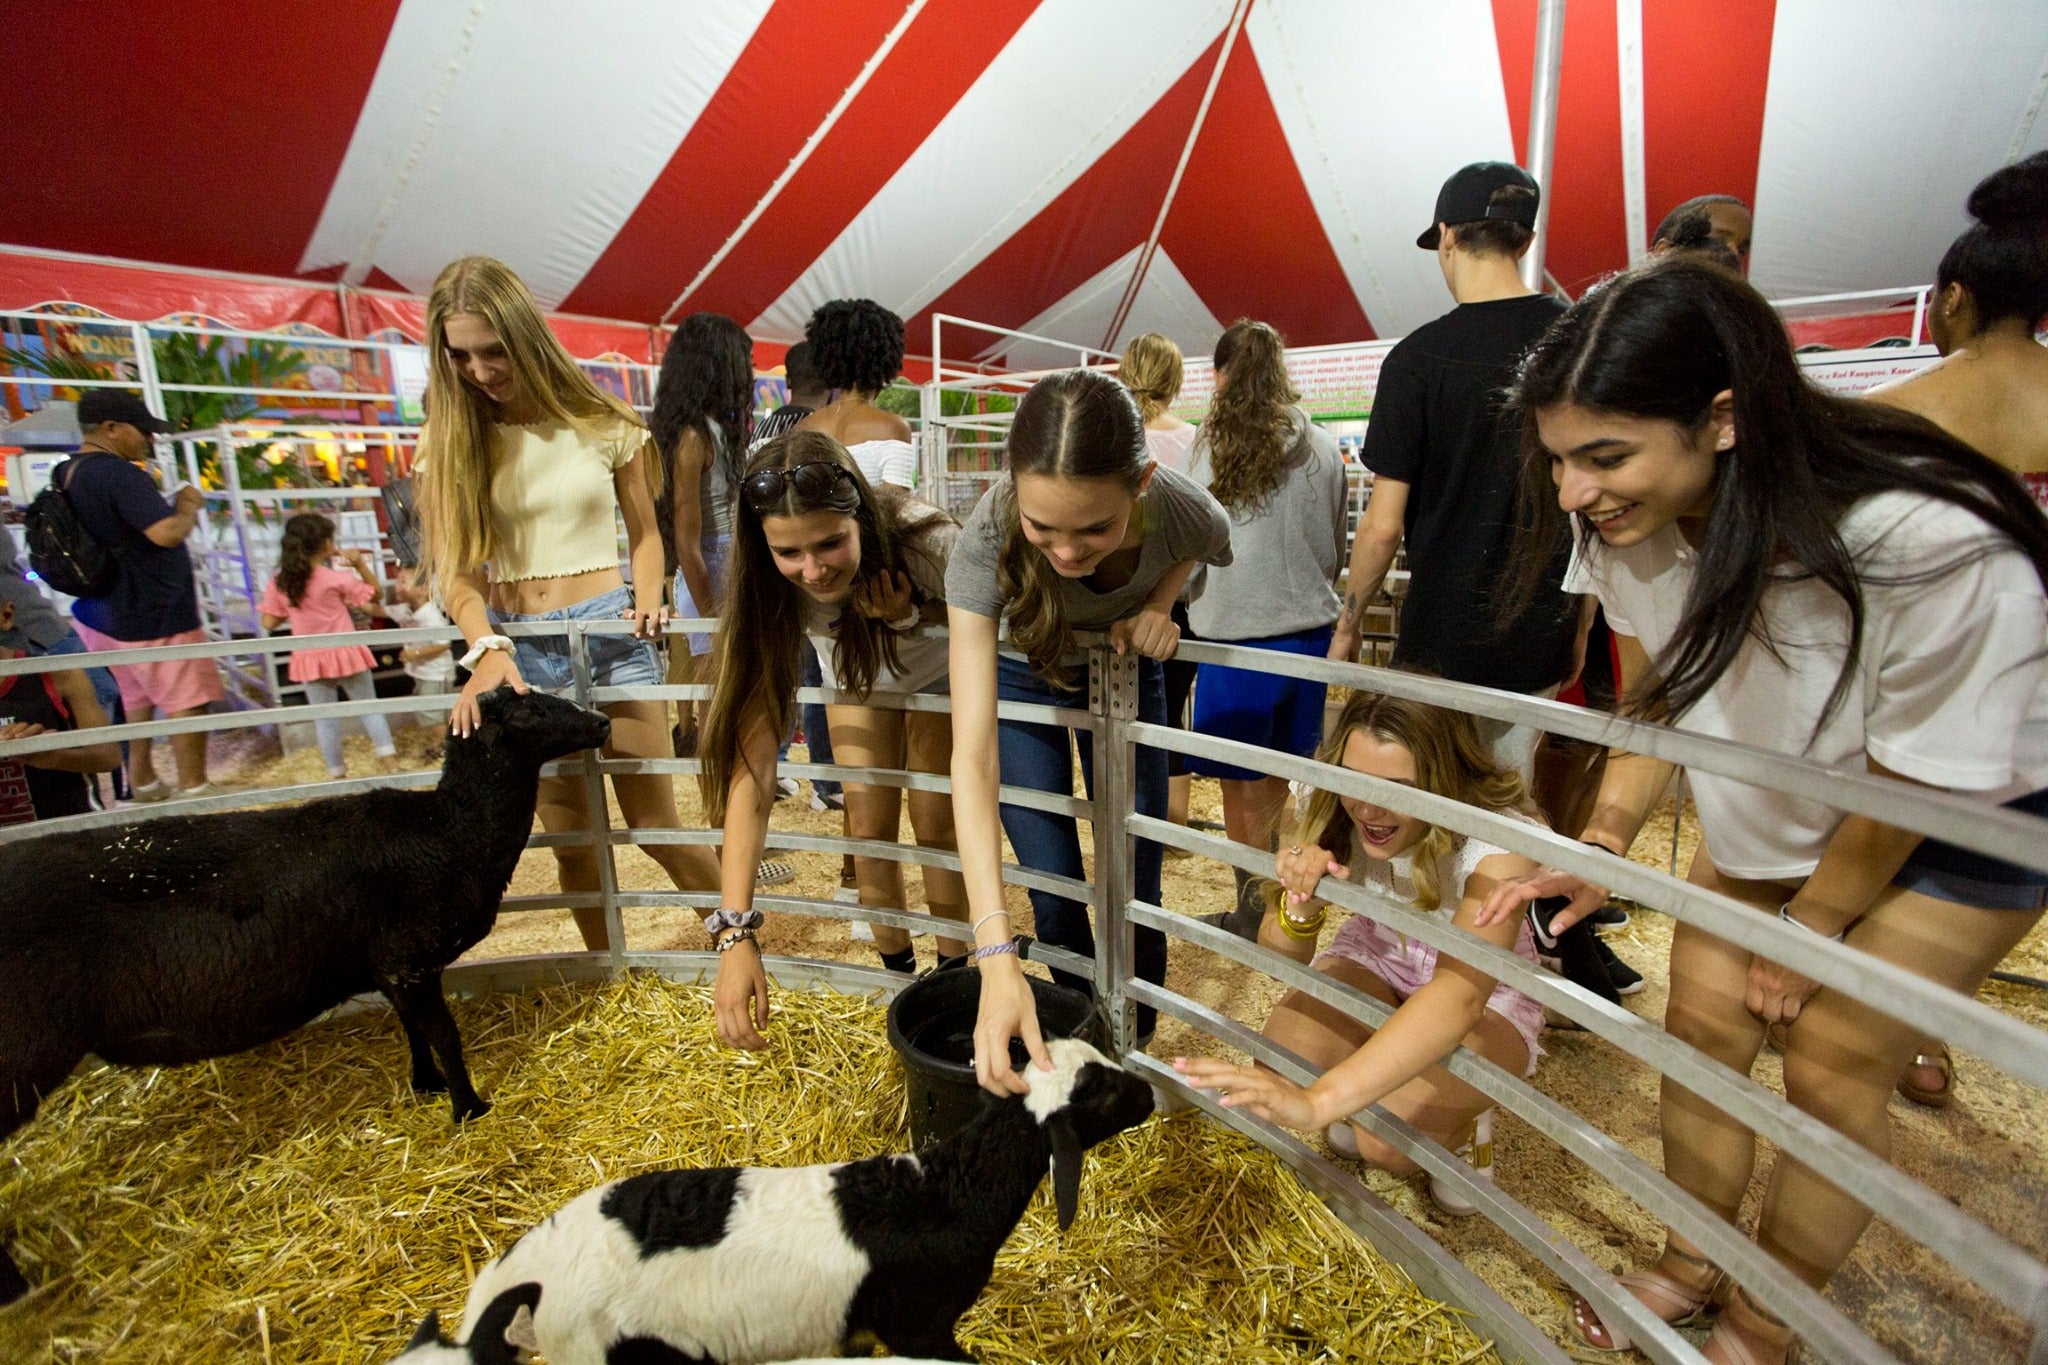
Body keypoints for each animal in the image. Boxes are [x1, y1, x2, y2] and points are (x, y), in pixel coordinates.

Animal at [0, 687, 606, 1309]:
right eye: (530, 711)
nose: (602, 722)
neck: (448, 832)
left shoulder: (390, 966)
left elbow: (412, 1031)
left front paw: (426, 1085)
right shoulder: (409, 958)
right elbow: (443, 1034)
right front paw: (468, 1107)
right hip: (23, 1048)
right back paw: (14, 1287)